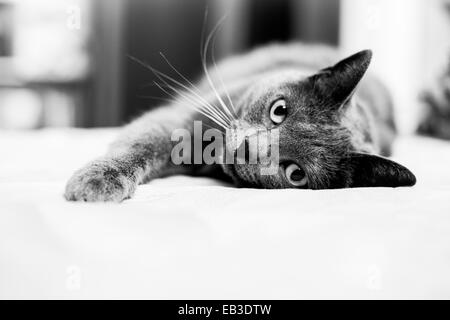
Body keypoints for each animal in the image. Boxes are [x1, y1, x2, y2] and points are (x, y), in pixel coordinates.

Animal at [65, 43, 416, 202]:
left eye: (296, 174)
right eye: (279, 110)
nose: (247, 149)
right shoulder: (179, 118)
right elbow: (140, 147)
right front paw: (98, 180)